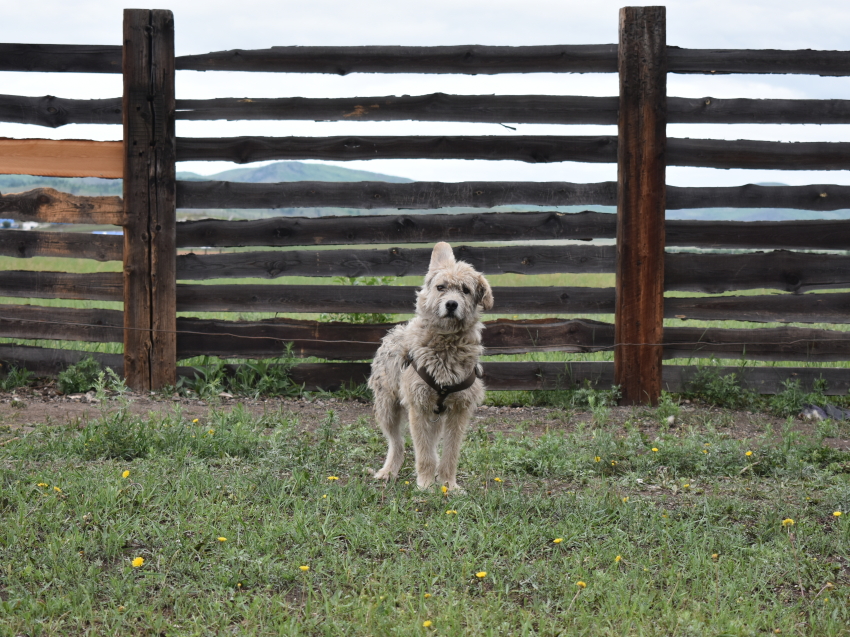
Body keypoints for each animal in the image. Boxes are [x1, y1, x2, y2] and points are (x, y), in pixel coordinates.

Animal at [368, 241, 494, 490]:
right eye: (441, 287)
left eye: (465, 290)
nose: (451, 304)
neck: (446, 347)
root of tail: (391, 333)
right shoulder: (418, 406)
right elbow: (423, 452)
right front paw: (425, 484)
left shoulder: (460, 410)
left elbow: (450, 453)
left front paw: (448, 485)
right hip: (387, 408)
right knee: (396, 443)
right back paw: (388, 472)